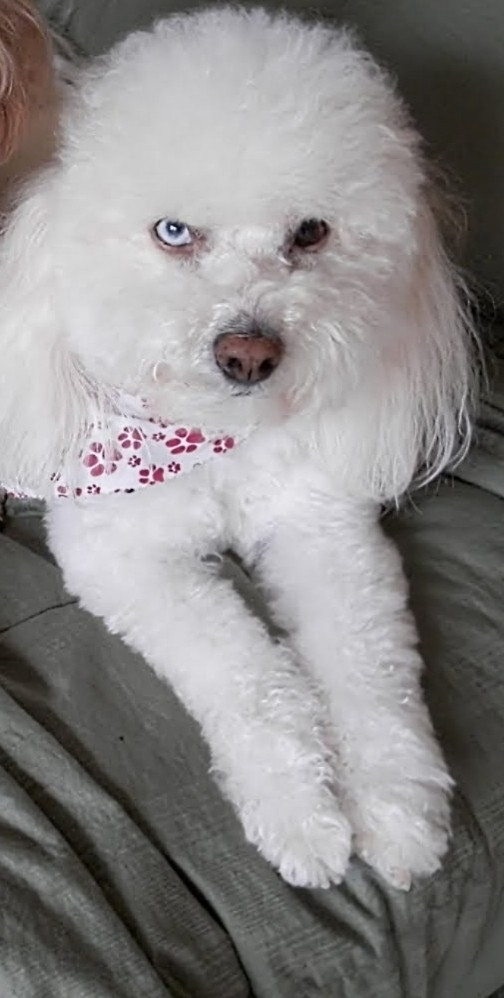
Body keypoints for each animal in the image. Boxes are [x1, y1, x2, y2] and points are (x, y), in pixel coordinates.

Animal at [0, 3, 474, 888]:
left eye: (312, 232)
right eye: (173, 232)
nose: (248, 353)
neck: (214, 438)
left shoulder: (324, 528)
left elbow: (370, 668)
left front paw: (396, 811)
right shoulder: (123, 557)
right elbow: (249, 674)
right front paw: (301, 815)